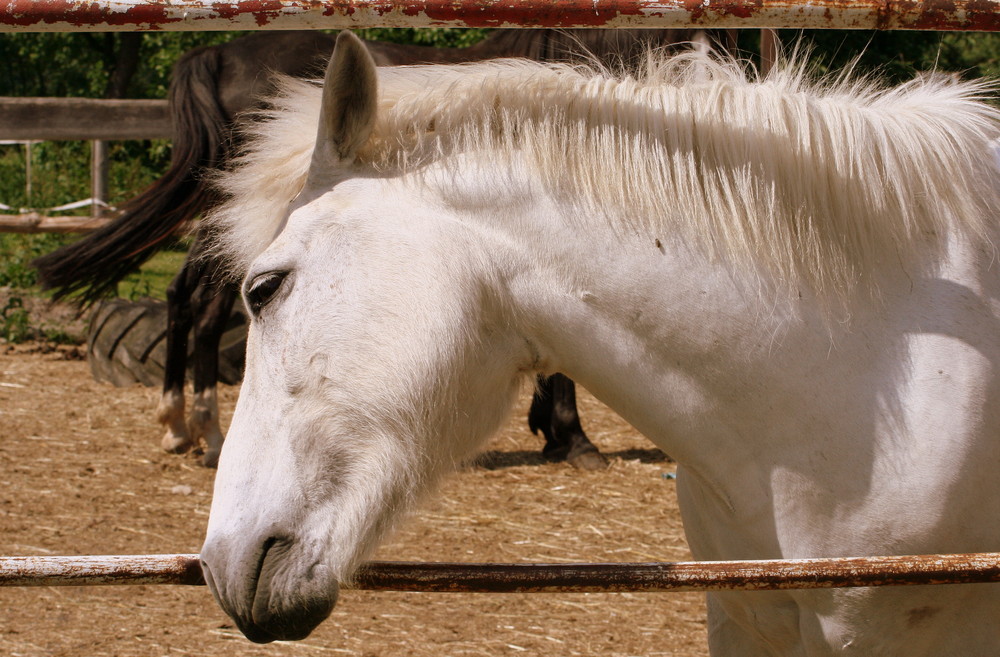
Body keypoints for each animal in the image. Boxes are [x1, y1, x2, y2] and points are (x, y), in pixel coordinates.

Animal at [35, 29, 732, 466]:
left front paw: (556, 433)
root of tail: (216, 53)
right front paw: (571, 437)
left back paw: (182, 426)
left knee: (184, 299)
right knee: (203, 306)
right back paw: (202, 429)